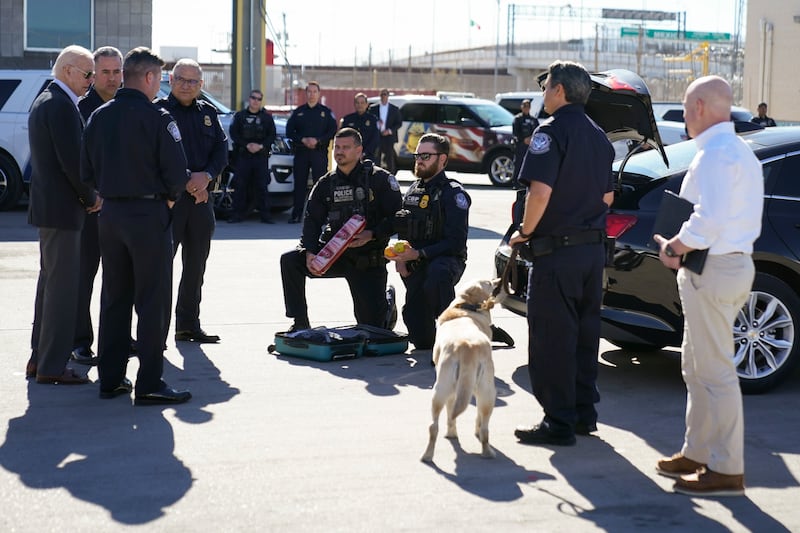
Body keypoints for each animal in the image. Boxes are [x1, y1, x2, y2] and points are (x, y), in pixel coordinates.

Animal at [418, 278, 500, 462]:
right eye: (488, 283)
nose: (497, 280)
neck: (465, 306)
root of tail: (467, 347)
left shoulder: (454, 392)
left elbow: (451, 414)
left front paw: (451, 434)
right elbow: (476, 418)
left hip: (440, 390)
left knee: (433, 426)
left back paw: (428, 455)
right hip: (487, 392)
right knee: (485, 428)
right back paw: (487, 452)